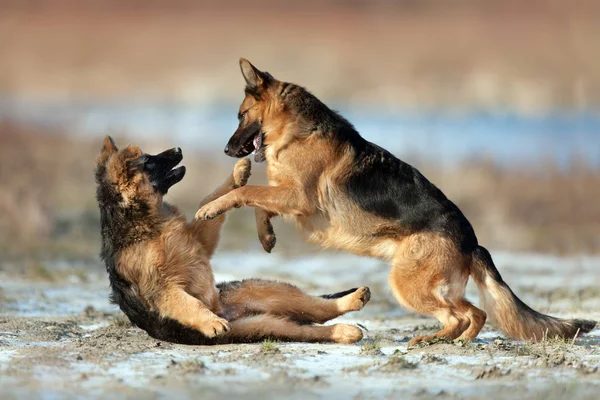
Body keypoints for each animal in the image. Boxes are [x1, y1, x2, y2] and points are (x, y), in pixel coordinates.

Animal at [94, 137, 370, 344]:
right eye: (148, 161)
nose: (178, 149)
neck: (147, 220)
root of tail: (229, 310)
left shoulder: (199, 244)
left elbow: (209, 199)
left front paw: (238, 173)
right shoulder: (161, 288)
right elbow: (188, 304)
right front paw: (210, 322)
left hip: (269, 293)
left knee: (318, 309)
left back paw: (353, 305)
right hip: (264, 326)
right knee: (309, 328)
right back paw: (346, 330)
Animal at [196, 58, 596, 344]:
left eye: (240, 116)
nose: (227, 150)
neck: (297, 131)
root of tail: (472, 241)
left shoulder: (297, 197)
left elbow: (246, 192)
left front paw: (210, 208)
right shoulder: (289, 197)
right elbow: (259, 203)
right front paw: (266, 237)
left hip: (406, 285)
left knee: (460, 314)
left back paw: (430, 339)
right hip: (428, 285)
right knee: (475, 313)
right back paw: (453, 341)